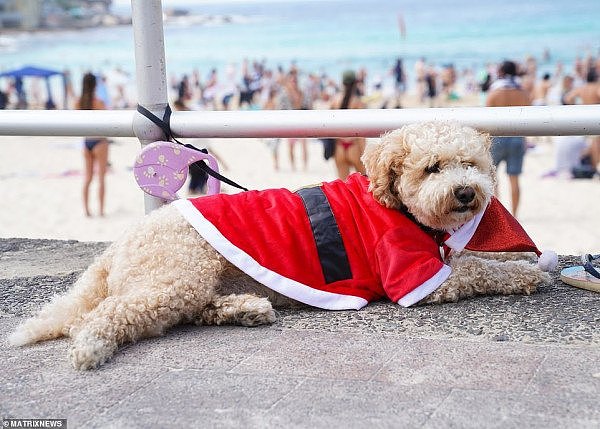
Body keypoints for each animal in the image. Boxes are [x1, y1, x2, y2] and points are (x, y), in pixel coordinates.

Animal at [10, 121, 552, 368]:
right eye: (432, 168)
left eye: (471, 164)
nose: (465, 193)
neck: (393, 202)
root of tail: (118, 246)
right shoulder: (415, 277)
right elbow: (477, 269)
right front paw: (526, 272)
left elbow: (474, 257)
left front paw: (533, 259)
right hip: (175, 273)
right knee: (108, 313)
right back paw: (91, 345)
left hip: (190, 282)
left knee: (190, 311)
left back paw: (244, 309)